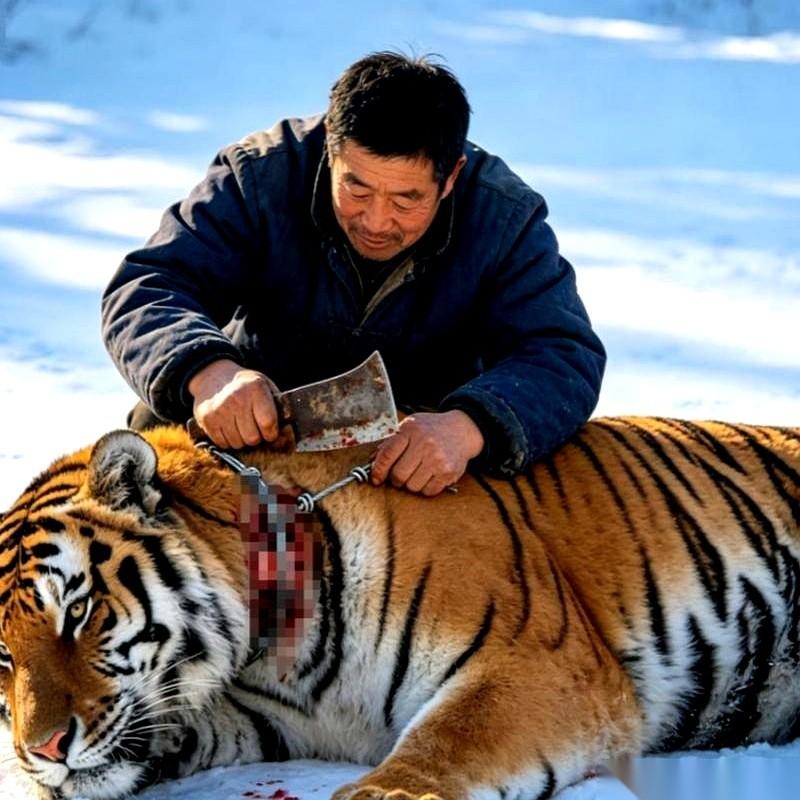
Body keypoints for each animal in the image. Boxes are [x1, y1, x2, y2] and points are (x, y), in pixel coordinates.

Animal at [0, 416, 799, 800]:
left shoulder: (538, 663)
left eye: (78, 612)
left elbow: (446, 746)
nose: (42, 750)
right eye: (4, 656)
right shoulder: (270, 718)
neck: (270, 652)